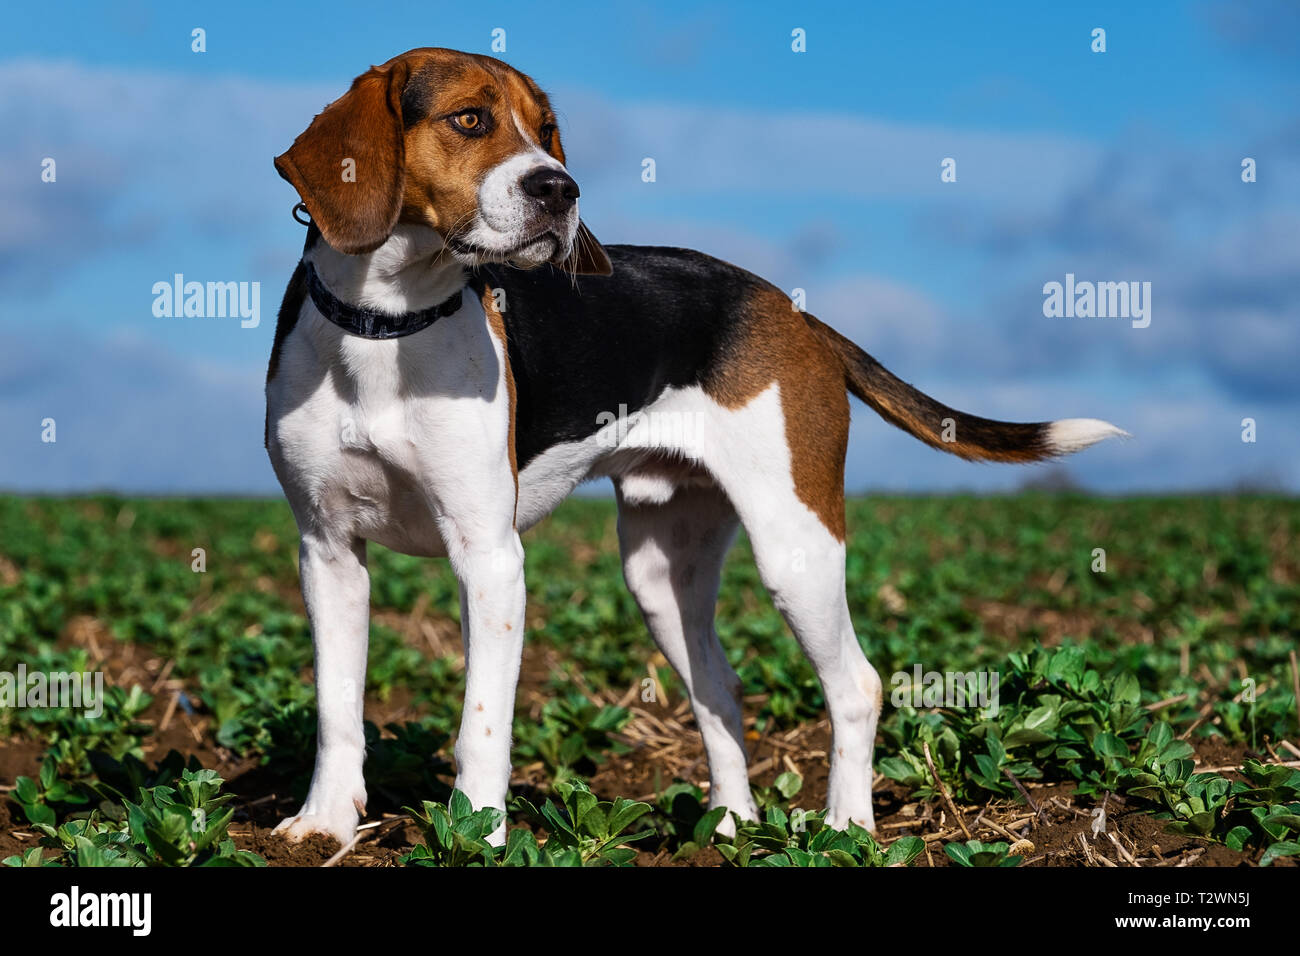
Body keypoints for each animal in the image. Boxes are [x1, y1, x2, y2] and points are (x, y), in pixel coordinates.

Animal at [266, 48, 1128, 848]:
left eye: (546, 131)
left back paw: (846, 828)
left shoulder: (489, 557)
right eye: (470, 120)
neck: (388, 323)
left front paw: (476, 836)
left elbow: (481, 723)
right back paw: (731, 825)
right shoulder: (326, 550)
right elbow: (336, 708)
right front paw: (324, 824)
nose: (561, 190)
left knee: (858, 685)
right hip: (660, 574)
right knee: (721, 689)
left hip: (796, 546)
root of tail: (793, 310)